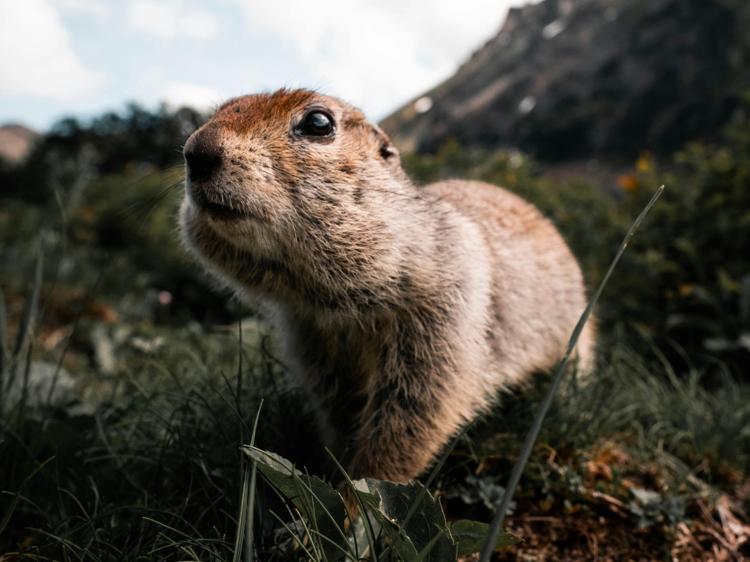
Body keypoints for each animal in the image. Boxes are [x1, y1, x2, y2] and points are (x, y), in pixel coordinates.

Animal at [179, 87, 596, 482]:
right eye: (221, 109)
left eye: (318, 122)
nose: (196, 152)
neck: (333, 301)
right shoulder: (312, 340)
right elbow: (339, 410)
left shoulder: (439, 316)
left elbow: (416, 409)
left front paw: (354, 498)